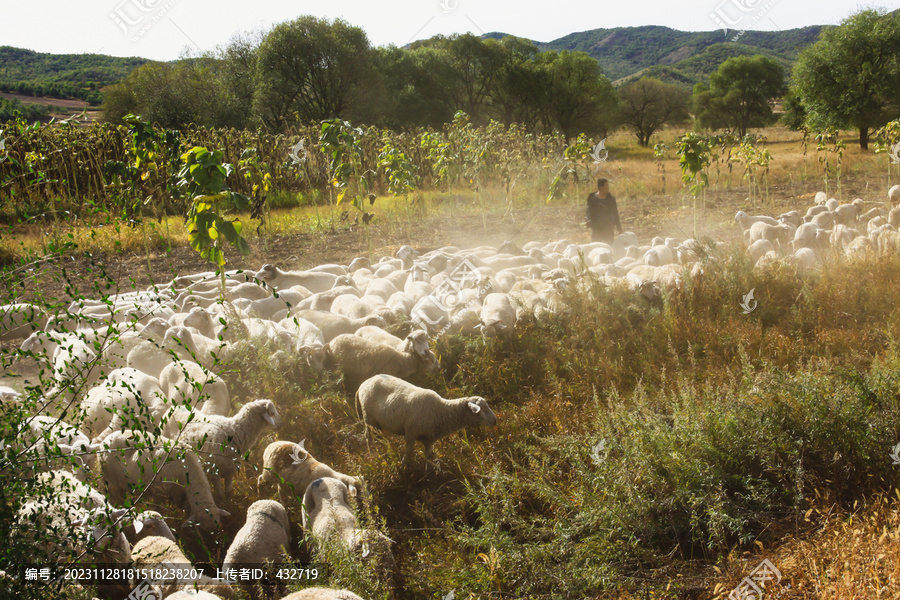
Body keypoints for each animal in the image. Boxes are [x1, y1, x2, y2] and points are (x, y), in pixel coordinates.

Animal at [354, 376, 496, 464]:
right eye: (482, 408)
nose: (495, 421)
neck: (441, 411)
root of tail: (363, 383)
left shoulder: (430, 440)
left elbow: (427, 457)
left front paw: (428, 472)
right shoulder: (410, 433)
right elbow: (408, 451)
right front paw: (403, 465)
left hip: (376, 422)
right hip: (368, 417)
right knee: (369, 437)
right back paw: (373, 455)